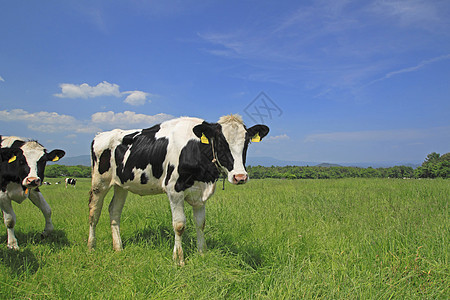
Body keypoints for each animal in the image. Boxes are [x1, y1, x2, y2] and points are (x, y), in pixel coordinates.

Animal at [89, 114, 268, 264]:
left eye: (246, 143)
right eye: (220, 142)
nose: (240, 177)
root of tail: (100, 135)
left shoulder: (200, 194)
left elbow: (200, 223)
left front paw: (202, 253)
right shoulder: (174, 190)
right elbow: (179, 225)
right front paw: (179, 259)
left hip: (121, 184)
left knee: (114, 210)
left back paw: (118, 248)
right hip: (99, 182)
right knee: (94, 212)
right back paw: (91, 246)